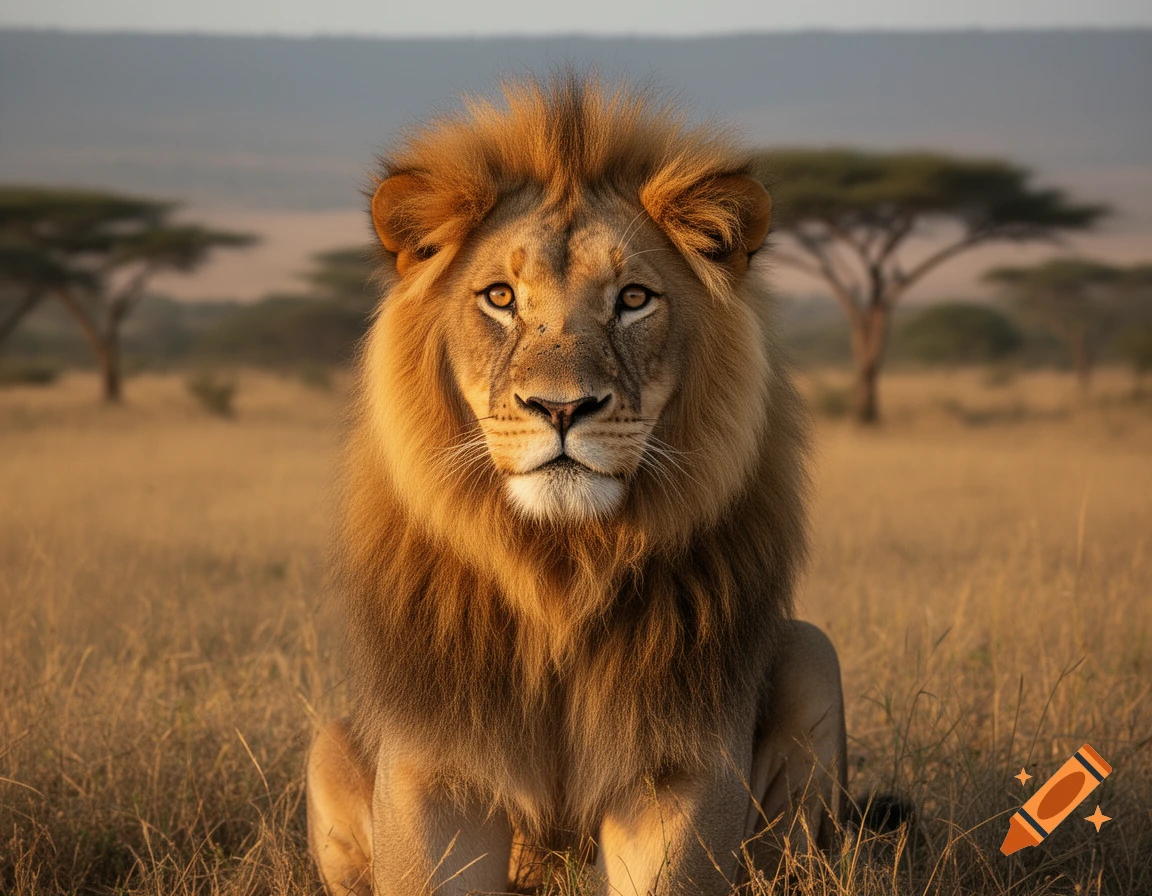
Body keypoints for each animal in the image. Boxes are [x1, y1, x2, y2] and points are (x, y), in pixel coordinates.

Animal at [305, 74, 848, 896]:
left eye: (633, 299)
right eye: (499, 297)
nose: (561, 408)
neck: (560, 568)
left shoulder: (681, 766)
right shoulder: (434, 762)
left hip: (814, 656)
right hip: (331, 742)